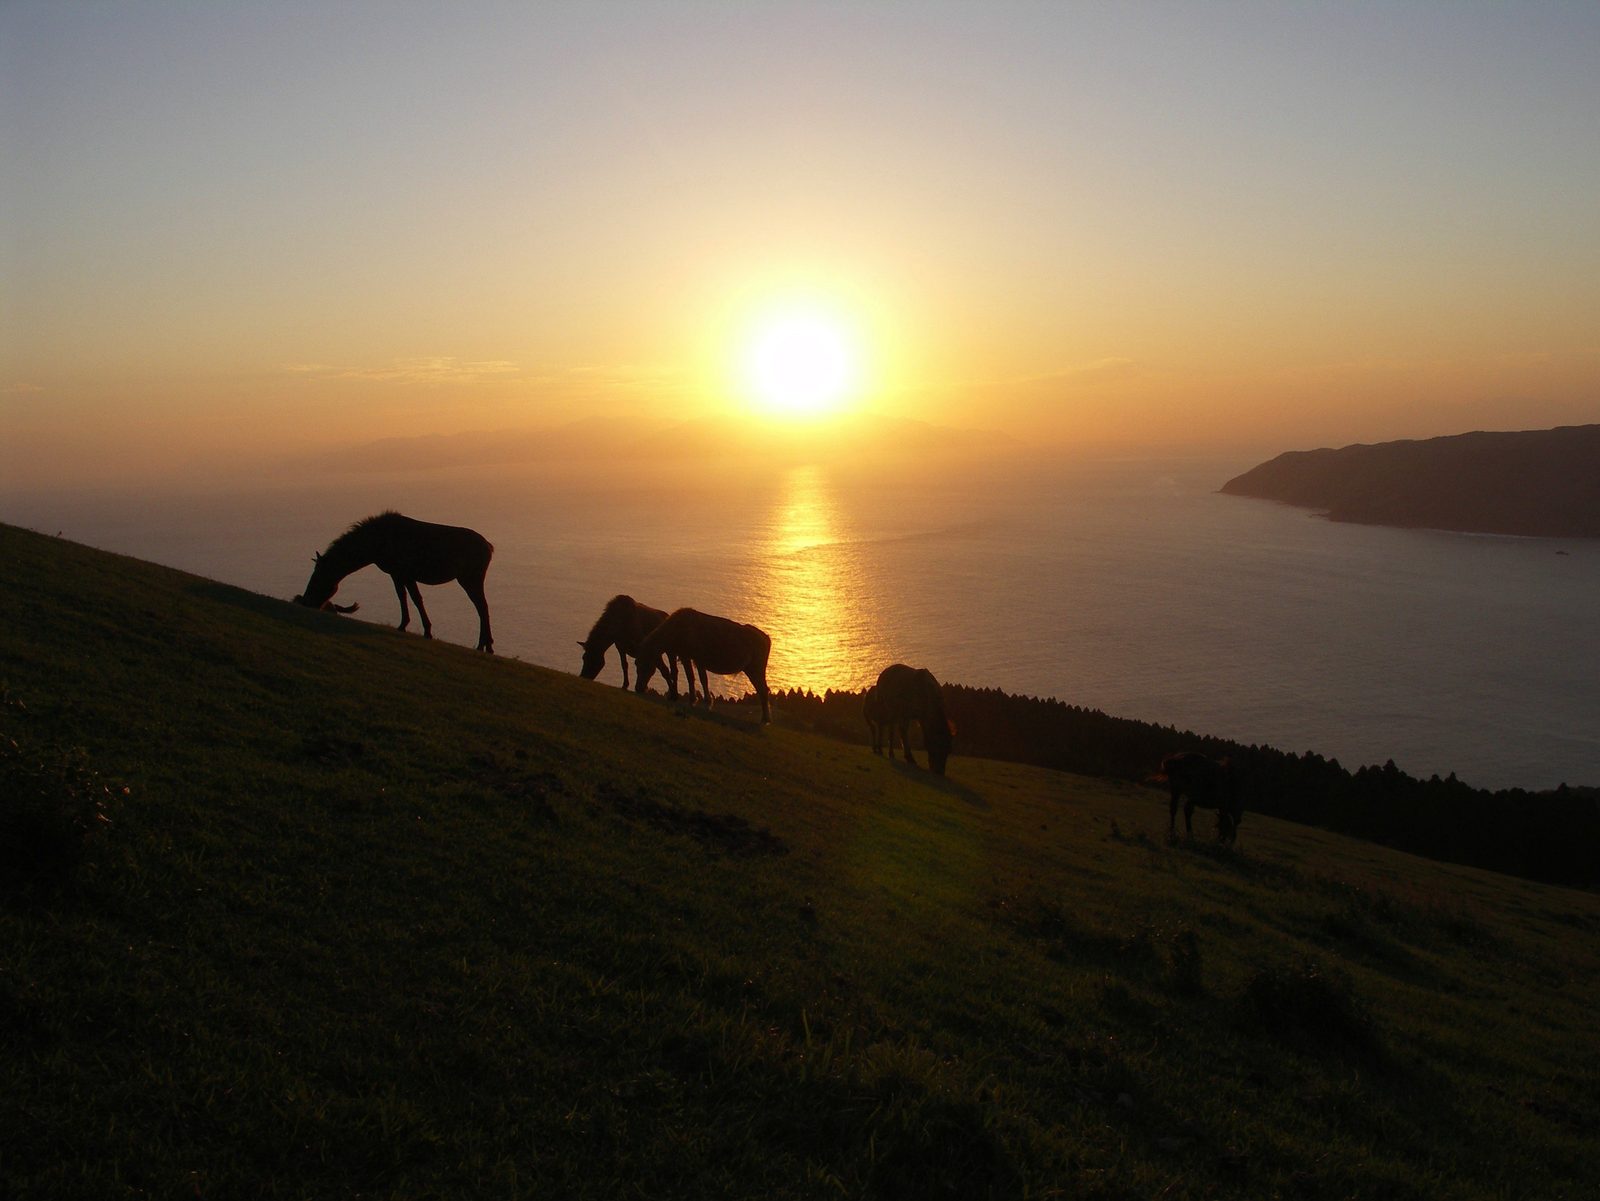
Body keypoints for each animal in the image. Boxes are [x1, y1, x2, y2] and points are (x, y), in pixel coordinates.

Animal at [294, 511, 495, 652]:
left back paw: (484, 645)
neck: (373, 547)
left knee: (482, 606)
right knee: (482, 606)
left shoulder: (404, 572)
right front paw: (407, 625)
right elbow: (404, 597)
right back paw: (486, 645)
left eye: (317, 577)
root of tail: (489, 547)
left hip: (470, 577)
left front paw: (424, 630)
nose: (305, 601)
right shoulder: (398, 574)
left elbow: (414, 599)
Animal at [633, 608, 772, 724]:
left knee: (763, 690)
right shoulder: (693, 659)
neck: (677, 629)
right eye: (636, 664)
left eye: (644, 666)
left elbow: (692, 678)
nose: (638, 688)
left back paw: (765, 719)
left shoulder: (691, 657)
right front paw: (706, 702)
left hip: (756, 668)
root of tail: (766, 638)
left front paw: (694, 700)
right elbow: (700, 679)